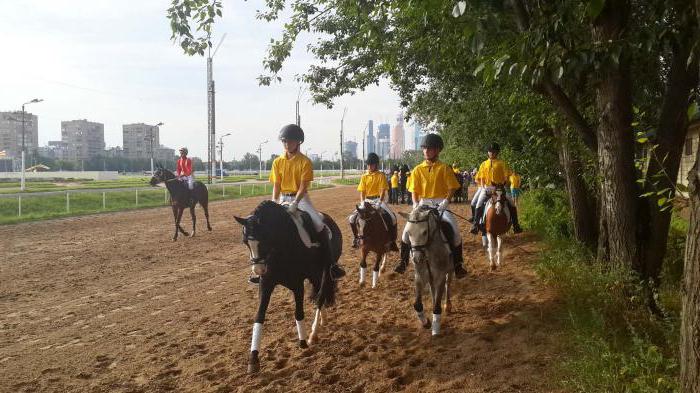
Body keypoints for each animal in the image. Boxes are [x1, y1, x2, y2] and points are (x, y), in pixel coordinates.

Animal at [235, 201, 342, 372]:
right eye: (245, 242)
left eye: (264, 238)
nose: (258, 270)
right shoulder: (266, 284)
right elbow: (259, 316)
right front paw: (253, 359)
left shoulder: (297, 284)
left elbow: (298, 313)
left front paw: (303, 343)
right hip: (314, 276)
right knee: (319, 294)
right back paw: (322, 320)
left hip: (325, 271)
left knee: (320, 297)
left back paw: (313, 334)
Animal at [400, 204, 454, 336]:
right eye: (408, 233)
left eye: (425, 232)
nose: (416, 259)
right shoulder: (420, 276)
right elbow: (417, 304)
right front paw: (426, 323)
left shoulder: (440, 276)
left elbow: (437, 306)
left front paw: (435, 328)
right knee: (432, 289)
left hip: (449, 271)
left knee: (448, 284)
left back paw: (448, 306)